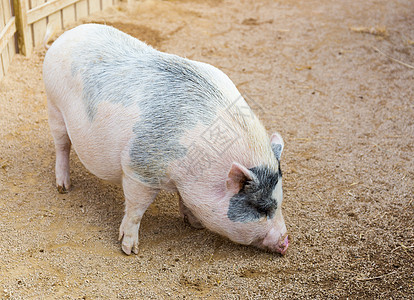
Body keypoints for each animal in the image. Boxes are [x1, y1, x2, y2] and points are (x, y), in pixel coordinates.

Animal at [42, 24, 288, 255]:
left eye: (279, 200)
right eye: (261, 208)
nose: (286, 241)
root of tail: (66, 35)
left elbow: (183, 200)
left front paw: (195, 224)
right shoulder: (139, 170)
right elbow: (136, 209)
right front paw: (129, 250)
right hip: (54, 106)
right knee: (62, 145)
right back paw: (63, 188)